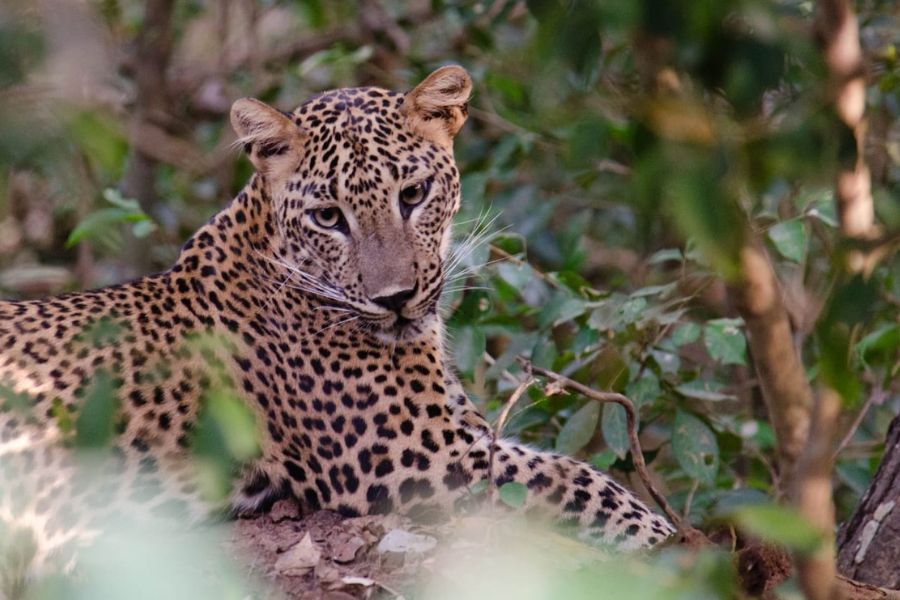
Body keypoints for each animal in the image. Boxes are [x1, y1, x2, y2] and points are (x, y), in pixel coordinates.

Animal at [0, 64, 672, 584]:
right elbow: (573, 479)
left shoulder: (453, 429)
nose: (396, 298)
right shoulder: (409, 453)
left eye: (414, 193)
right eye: (329, 217)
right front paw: (665, 541)